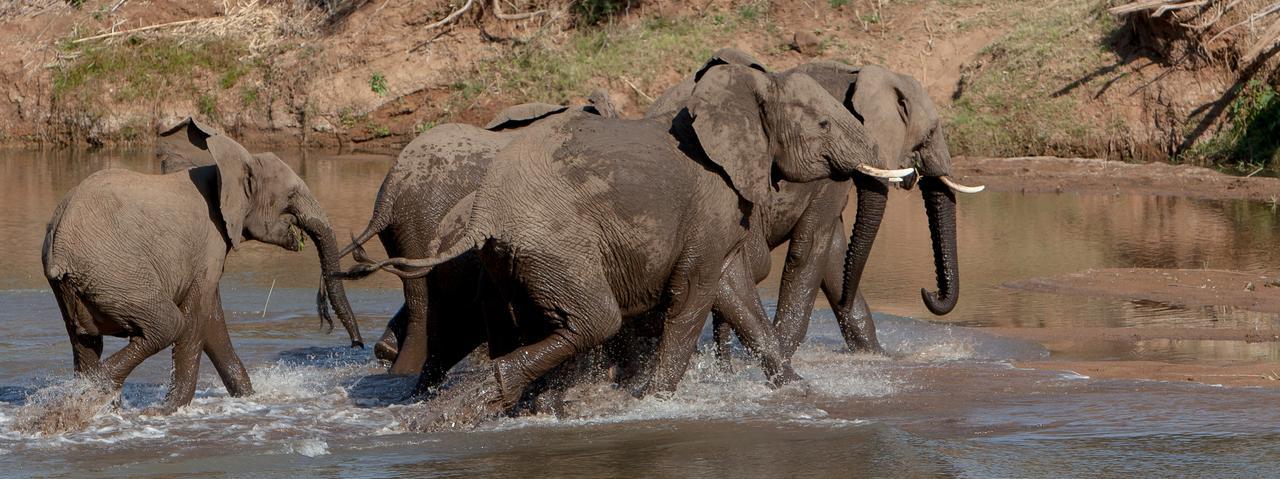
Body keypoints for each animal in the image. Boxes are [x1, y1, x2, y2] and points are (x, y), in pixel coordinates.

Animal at [353, 61, 911, 409]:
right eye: (823, 123)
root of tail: (487, 214)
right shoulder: (711, 198)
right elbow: (696, 293)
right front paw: (652, 400)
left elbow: (731, 287)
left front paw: (797, 390)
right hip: (555, 245)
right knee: (594, 319)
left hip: (506, 262)